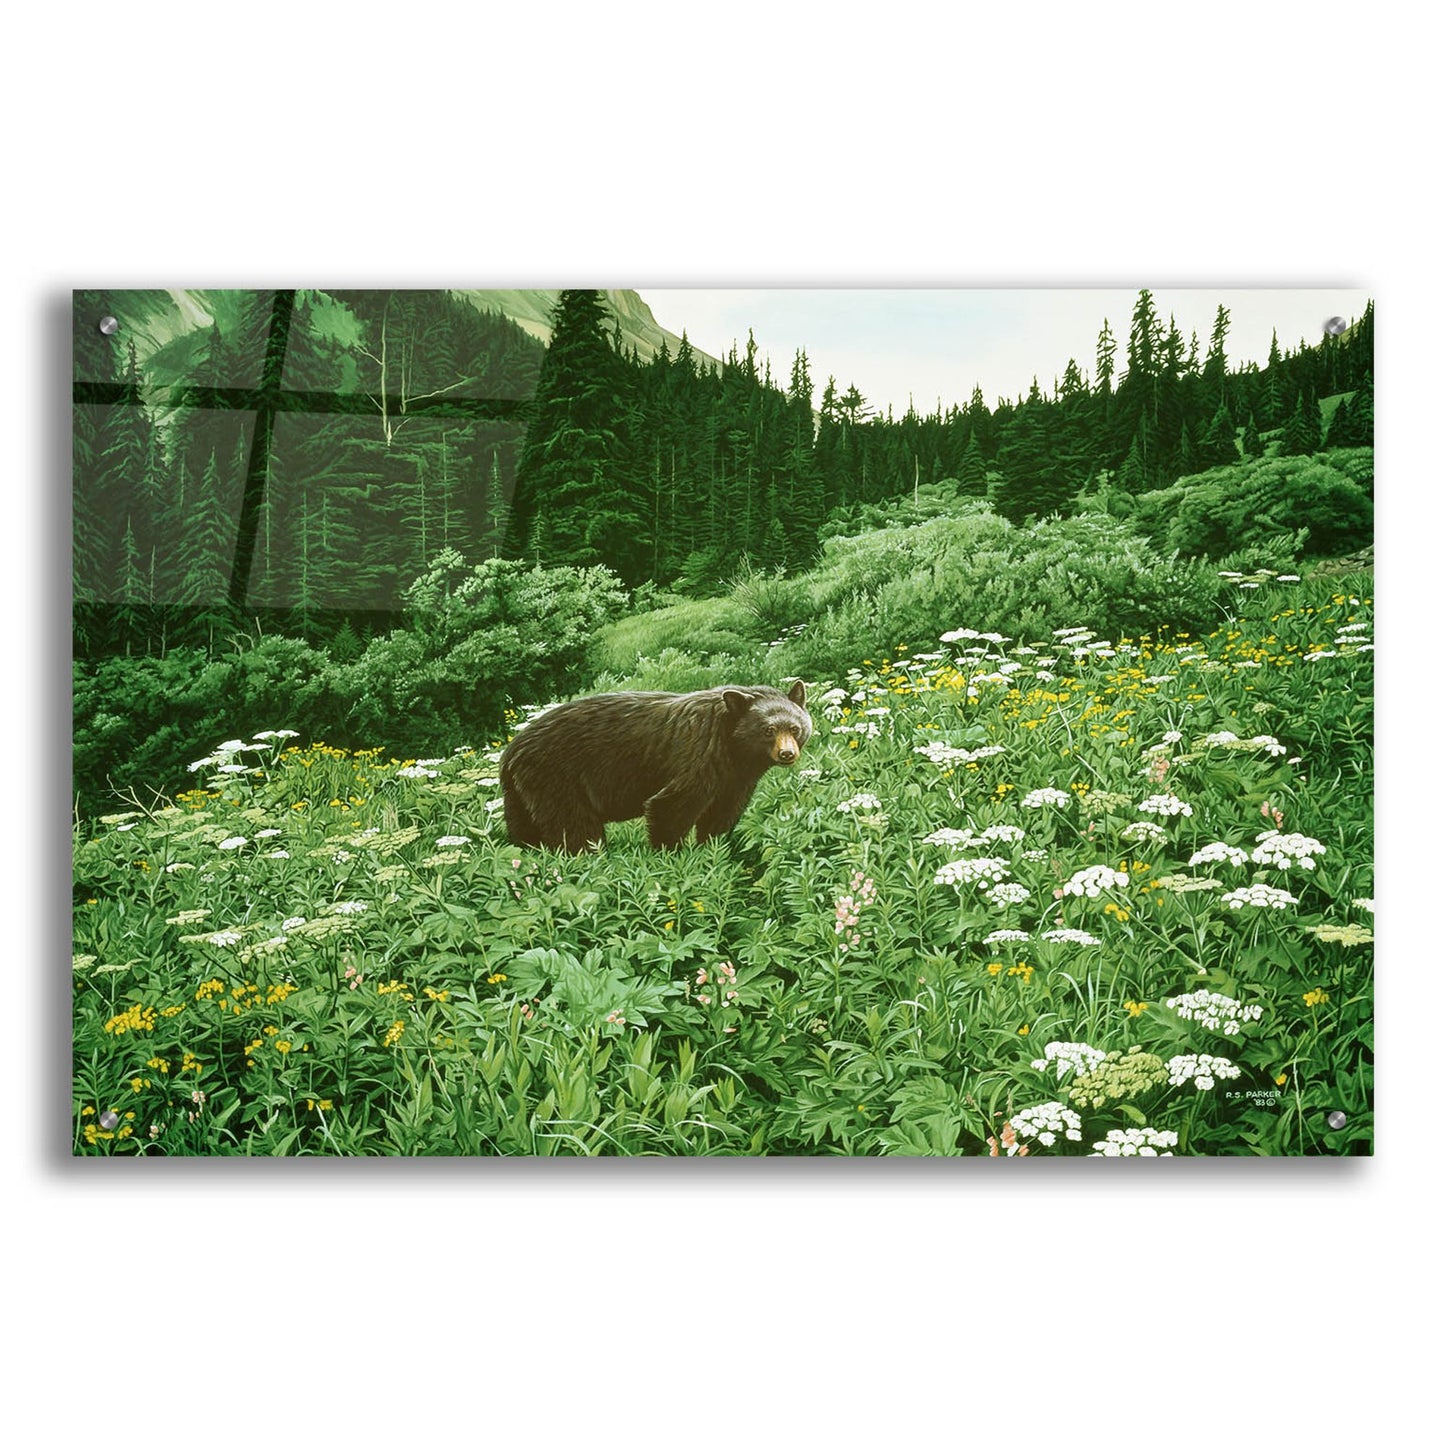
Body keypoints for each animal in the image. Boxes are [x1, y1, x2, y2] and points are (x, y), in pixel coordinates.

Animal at [500, 682, 811, 853]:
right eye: (768, 730)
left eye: (795, 727)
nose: (786, 753)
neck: (733, 746)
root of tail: (511, 751)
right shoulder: (699, 755)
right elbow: (670, 805)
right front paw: (674, 855)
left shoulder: (735, 778)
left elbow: (722, 813)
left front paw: (714, 848)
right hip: (556, 776)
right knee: (574, 825)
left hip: (522, 791)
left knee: (524, 826)